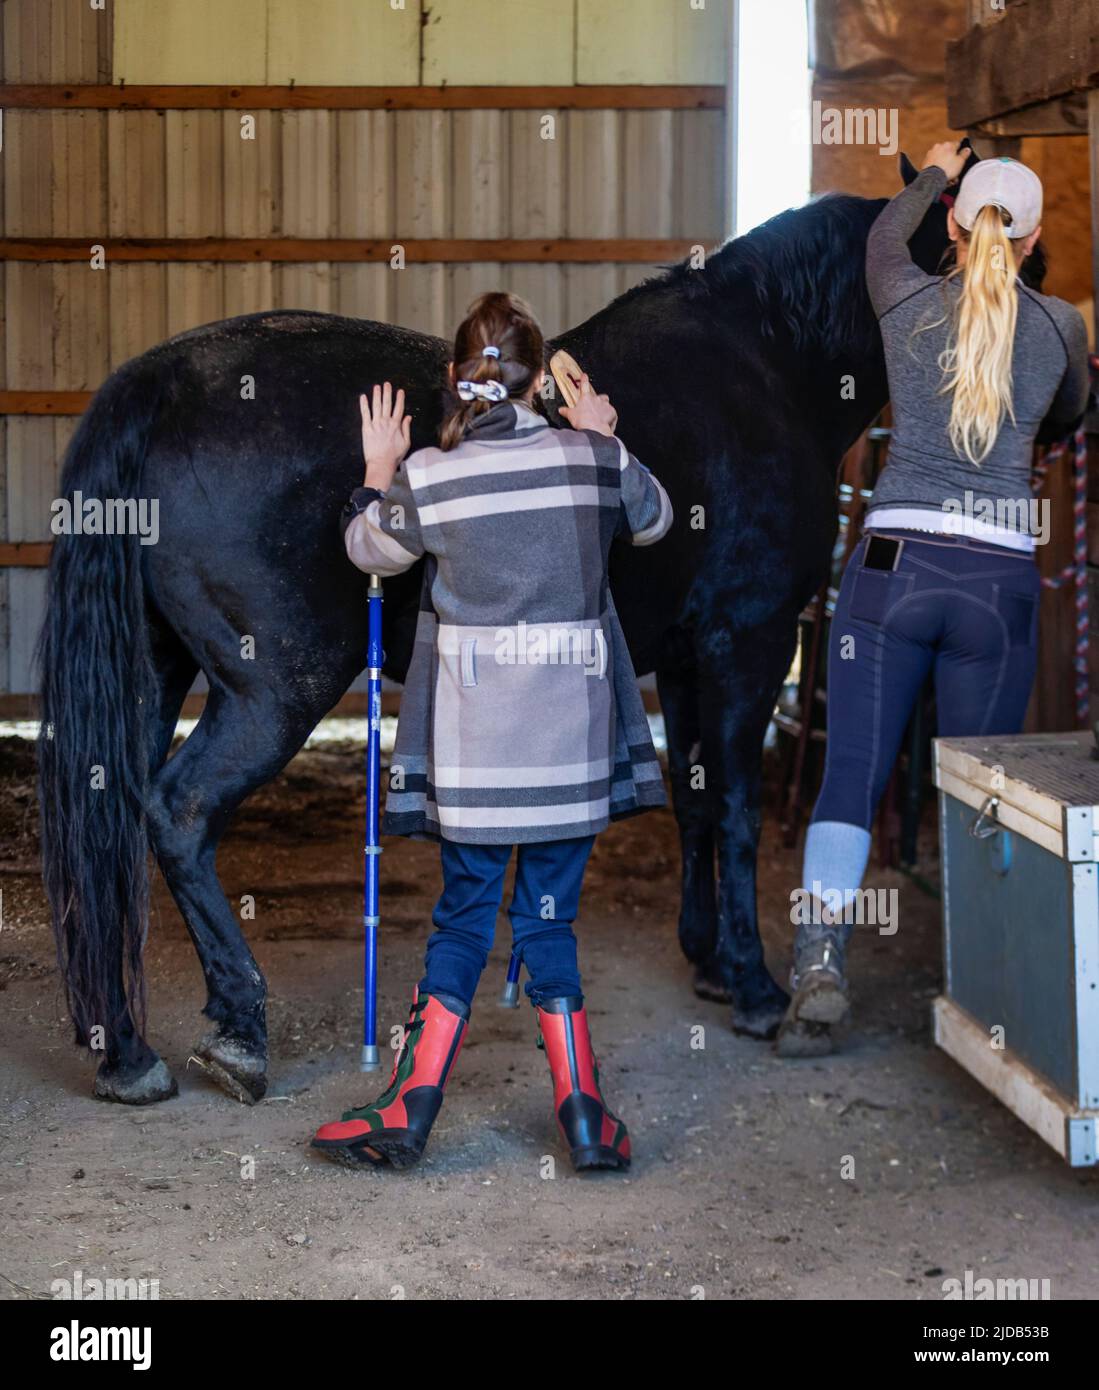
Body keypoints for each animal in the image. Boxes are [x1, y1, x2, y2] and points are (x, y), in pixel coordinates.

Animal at [36, 154, 994, 1106]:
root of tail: (162, 384)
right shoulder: (748, 648)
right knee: (179, 812)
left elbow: (691, 803)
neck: (768, 365)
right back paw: (236, 1028)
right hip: (274, 690)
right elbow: (733, 810)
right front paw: (756, 989)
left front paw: (708, 963)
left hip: (151, 675)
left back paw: (126, 1049)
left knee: (111, 819)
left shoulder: (692, 663)